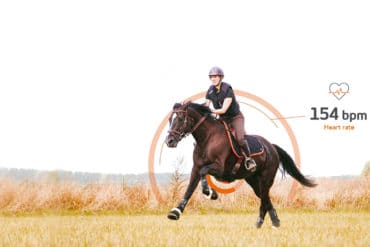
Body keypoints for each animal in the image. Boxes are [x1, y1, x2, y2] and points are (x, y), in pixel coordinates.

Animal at [166, 102, 316, 228]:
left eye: (180, 119)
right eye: (170, 120)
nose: (169, 141)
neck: (207, 139)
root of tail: (271, 147)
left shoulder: (221, 169)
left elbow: (204, 172)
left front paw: (210, 193)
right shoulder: (195, 168)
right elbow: (190, 189)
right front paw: (176, 212)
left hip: (266, 178)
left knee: (264, 198)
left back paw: (261, 222)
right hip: (253, 180)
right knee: (265, 198)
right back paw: (274, 221)